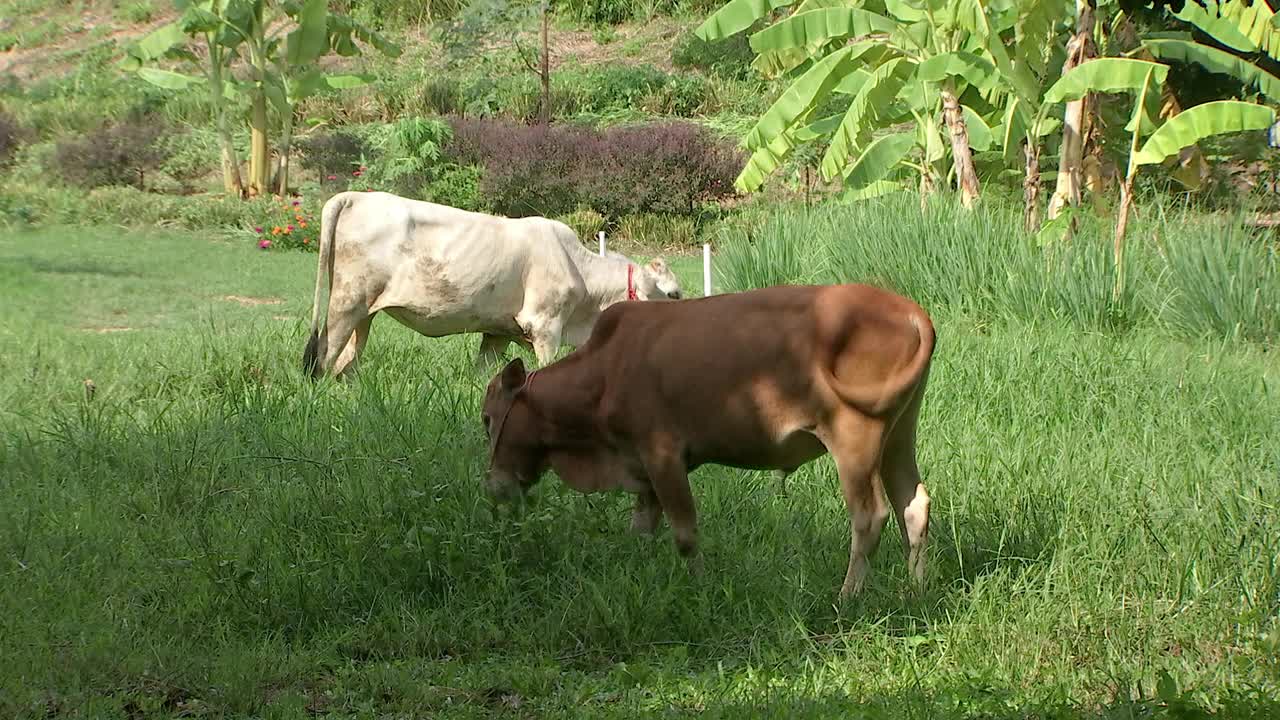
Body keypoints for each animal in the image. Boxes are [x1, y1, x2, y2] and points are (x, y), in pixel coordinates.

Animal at [302, 190, 680, 379]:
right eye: (672, 294)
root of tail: (353, 196)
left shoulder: (498, 333)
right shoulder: (545, 326)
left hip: (364, 313)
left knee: (346, 362)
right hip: (346, 304)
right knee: (324, 355)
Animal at [481, 283, 942, 597]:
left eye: (487, 419)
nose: (494, 485)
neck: (604, 372)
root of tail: (909, 310)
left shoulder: (663, 455)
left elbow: (685, 534)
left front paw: (699, 587)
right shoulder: (642, 468)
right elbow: (641, 529)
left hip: (854, 439)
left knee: (870, 516)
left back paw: (847, 596)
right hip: (899, 432)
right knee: (913, 504)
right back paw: (915, 589)